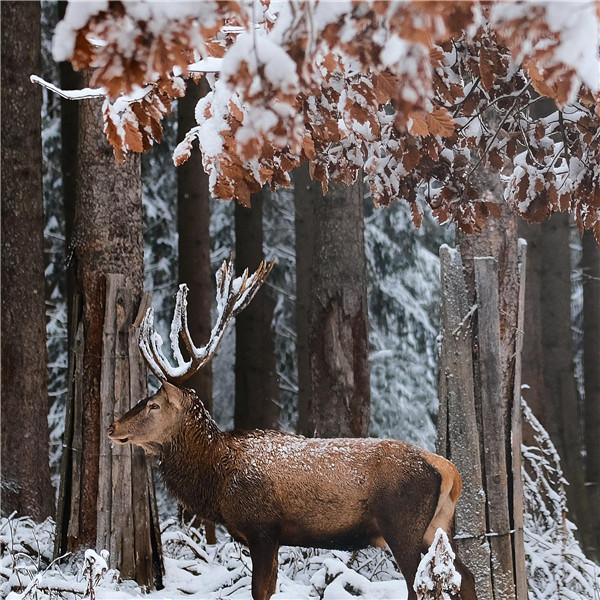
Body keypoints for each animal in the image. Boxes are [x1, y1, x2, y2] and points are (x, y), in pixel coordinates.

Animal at [109, 258, 478, 600]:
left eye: (154, 404)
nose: (113, 425)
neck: (216, 478)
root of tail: (448, 470)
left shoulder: (262, 527)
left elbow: (260, 591)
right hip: (437, 526)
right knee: (466, 576)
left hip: (402, 524)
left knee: (420, 583)